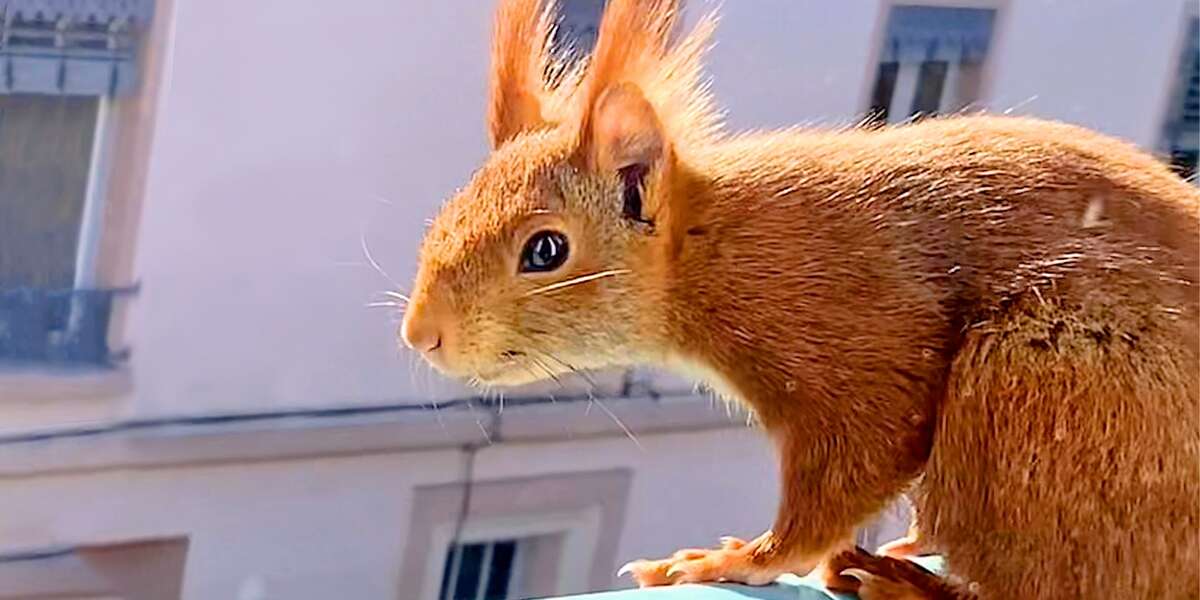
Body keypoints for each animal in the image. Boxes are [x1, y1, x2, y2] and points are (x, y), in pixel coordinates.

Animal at [399, 0, 1200, 598]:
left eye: (546, 250)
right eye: (449, 208)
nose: (421, 335)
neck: (711, 244)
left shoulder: (855, 329)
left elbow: (853, 466)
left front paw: (731, 560)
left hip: (1041, 388)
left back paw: (908, 583)